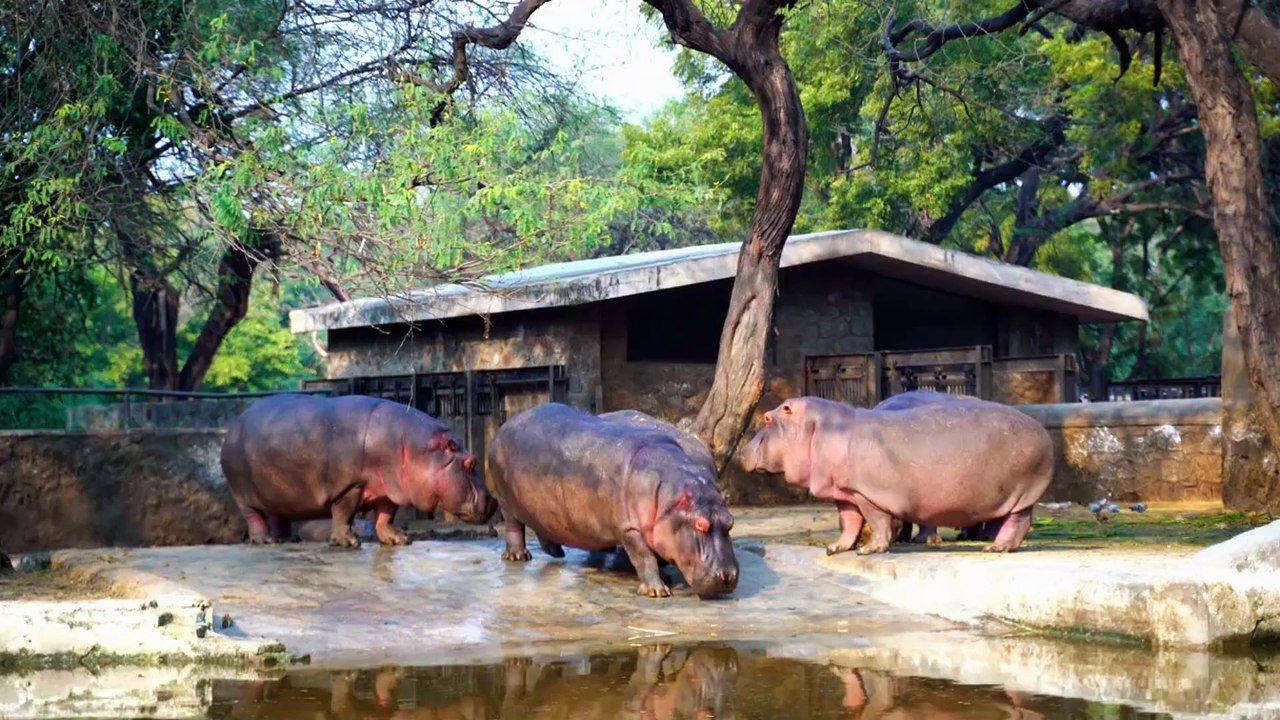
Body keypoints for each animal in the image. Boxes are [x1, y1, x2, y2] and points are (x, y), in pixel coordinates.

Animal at [220, 394, 497, 548]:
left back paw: (287, 540)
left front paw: (399, 540)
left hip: (279, 492)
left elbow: (386, 516)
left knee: (279, 514)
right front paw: (348, 543)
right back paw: (263, 541)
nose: (495, 501)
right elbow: (344, 515)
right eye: (471, 462)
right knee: (254, 516)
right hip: (242, 492)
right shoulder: (350, 486)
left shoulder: (389, 489)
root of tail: (234, 425)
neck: (410, 445)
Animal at [487, 402, 739, 598]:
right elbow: (644, 556)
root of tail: (505, 425)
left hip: (541, 508)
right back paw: (518, 557)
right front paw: (657, 591)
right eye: (700, 524)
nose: (728, 576)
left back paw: (557, 553)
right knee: (514, 527)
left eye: (731, 521)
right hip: (506, 501)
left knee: (542, 526)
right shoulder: (628, 529)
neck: (667, 494)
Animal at [741, 395, 1053, 554]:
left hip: (1022, 494)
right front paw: (835, 548)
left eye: (767, 418)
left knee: (1018, 522)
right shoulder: (846, 493)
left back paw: (996, 548)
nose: (742, 450)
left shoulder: (868, 494)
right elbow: (849, 522)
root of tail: (1042, 431)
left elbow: (877, 522)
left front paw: (869, 550)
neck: (824, 428)